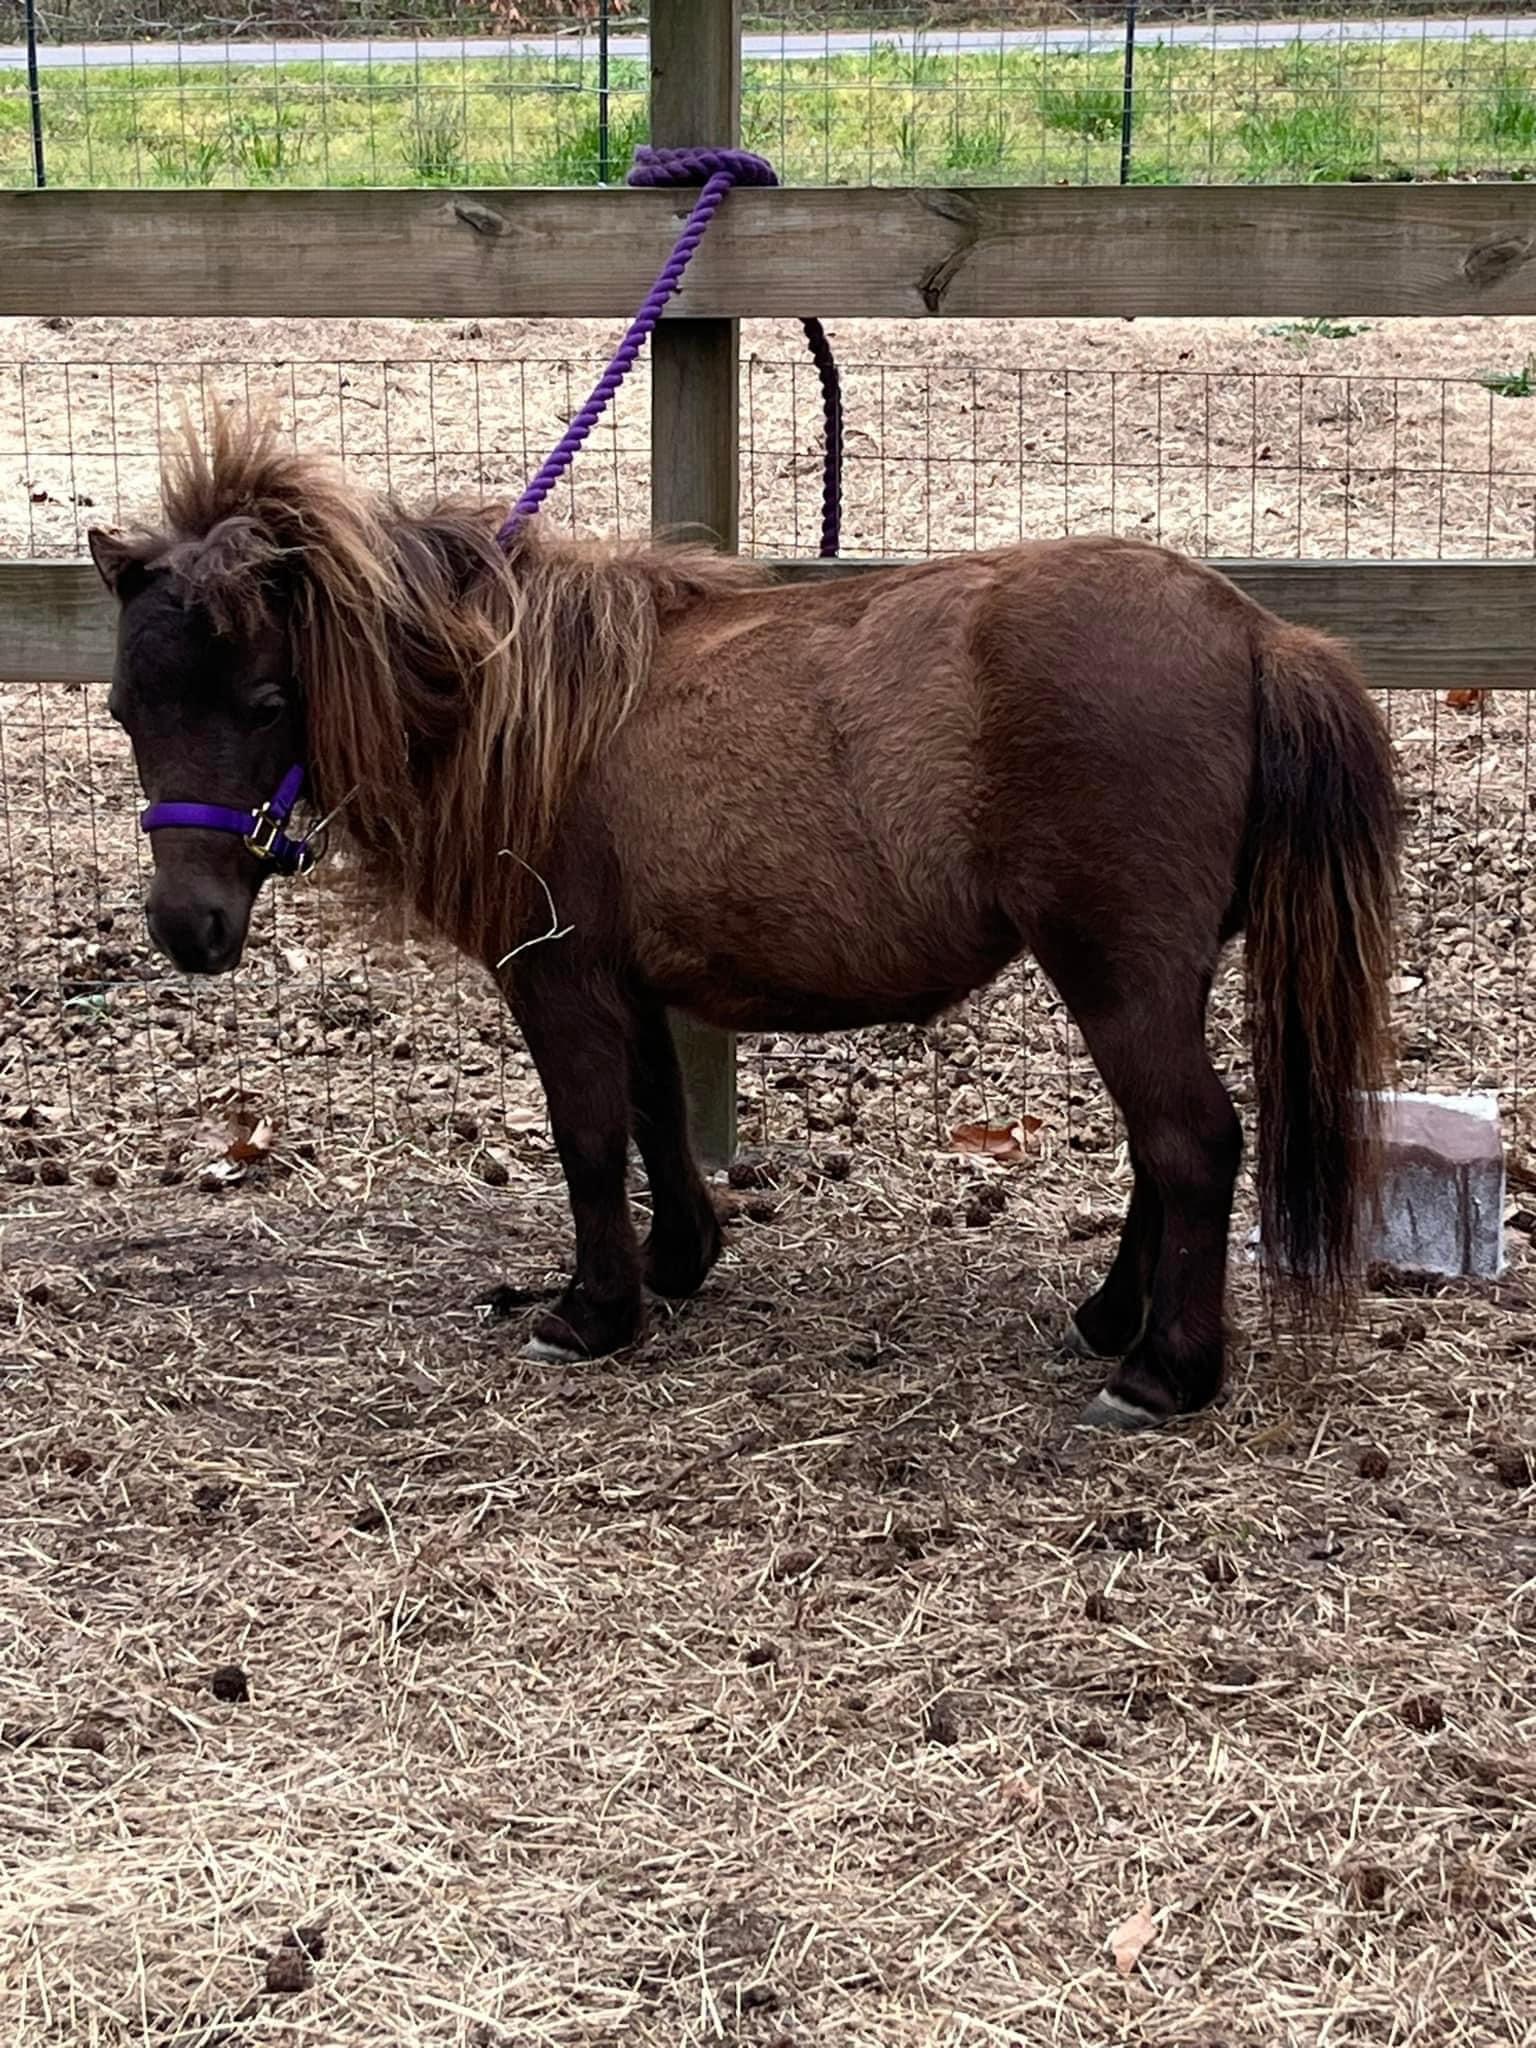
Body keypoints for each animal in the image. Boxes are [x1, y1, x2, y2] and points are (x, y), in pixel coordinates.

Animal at [88, 412, 1399, 1432]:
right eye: (123, 707)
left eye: (268, 698)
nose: (189, 928)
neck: (510, 702)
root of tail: (1255, 634)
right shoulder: (626, 978)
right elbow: (656, 1112)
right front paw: (679, 1261)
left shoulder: (556, 976)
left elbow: (587, 1135)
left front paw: (593, 1310)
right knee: (1161, 1147)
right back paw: (1111, 1317)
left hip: (1119, 973)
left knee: (1193, 1140)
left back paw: (1164, 1371)